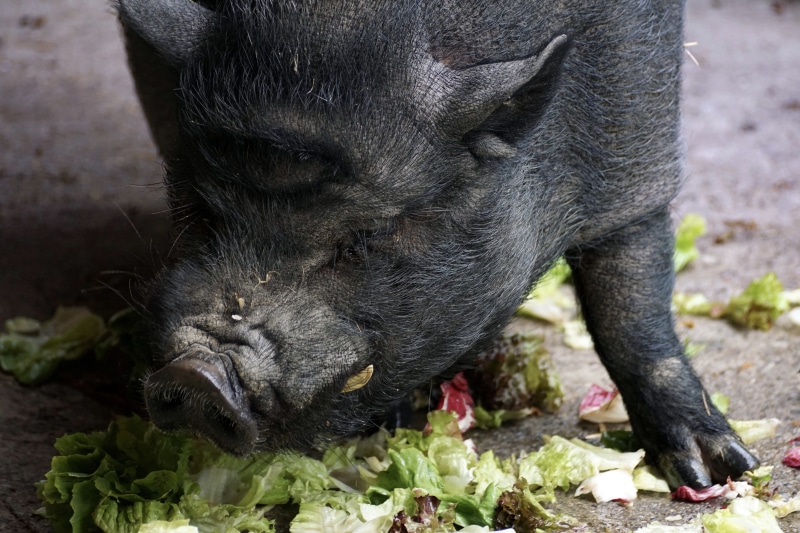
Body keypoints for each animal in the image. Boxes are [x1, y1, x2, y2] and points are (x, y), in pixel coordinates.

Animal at [116, 0, 758, 489]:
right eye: (200, 208)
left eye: (368, 235)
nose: (196, 374)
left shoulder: (637, 145)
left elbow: (629, 308)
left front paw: (717, 472)